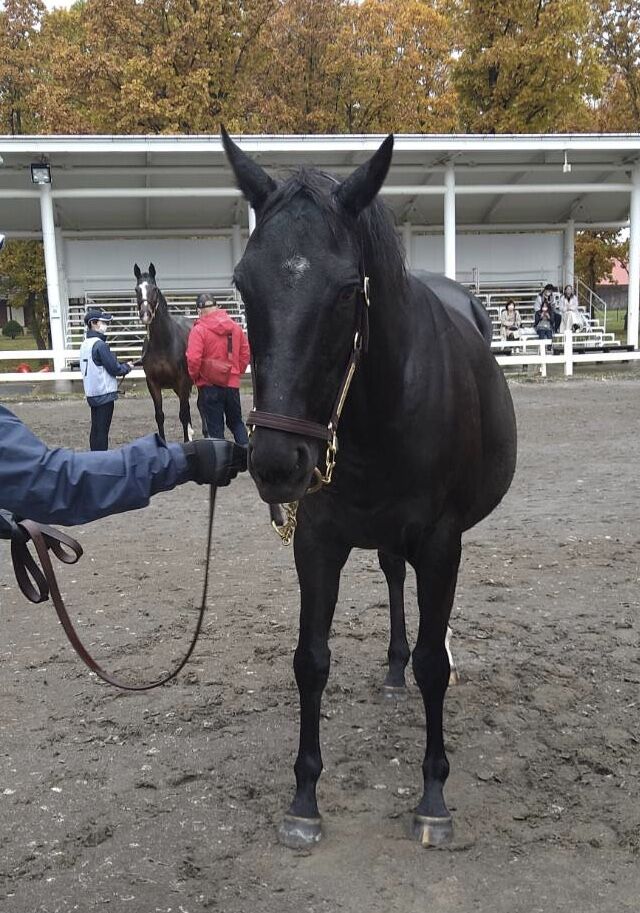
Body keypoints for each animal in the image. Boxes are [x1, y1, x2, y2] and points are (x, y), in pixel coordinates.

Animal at [134, 263, 203, 442]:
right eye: (137, 289)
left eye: (155, 289)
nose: (145, 314)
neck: (163, 344)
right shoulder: (153, 384)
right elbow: (160, 415)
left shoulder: (182, 381)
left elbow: (183, 414)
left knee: (200, 406)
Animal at [221, 127, 517, 848]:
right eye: (244, 284)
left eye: (344, 290)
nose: (277, 463)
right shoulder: (316, 542)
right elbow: (310, 660)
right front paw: (303, 799)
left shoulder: (441, 542)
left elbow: (435, 667)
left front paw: (434, 797)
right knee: (391, 576)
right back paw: (391, 667)